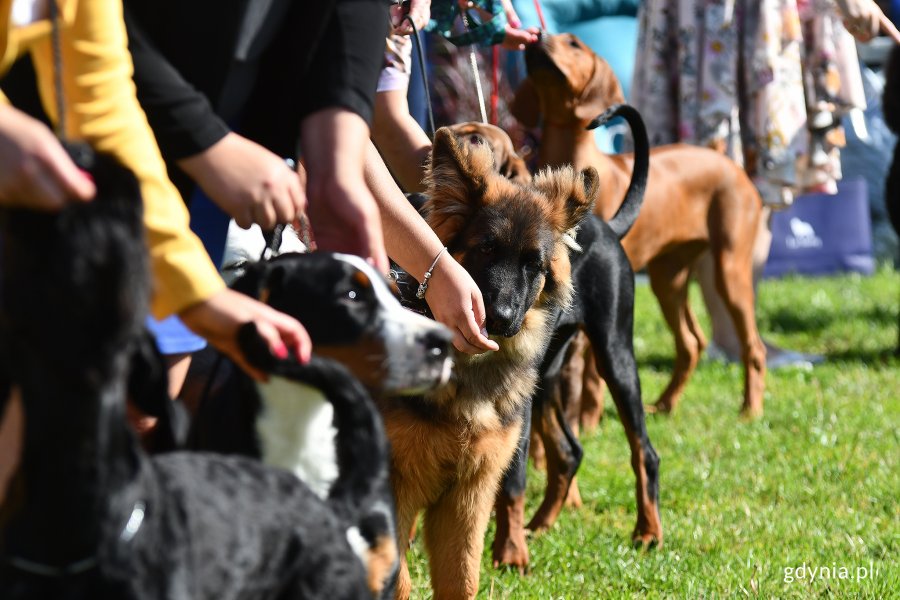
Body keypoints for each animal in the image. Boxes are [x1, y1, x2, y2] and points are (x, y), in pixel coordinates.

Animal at [512, 31, 768, 418]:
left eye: (574, 44)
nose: (537, 35)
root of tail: (729, 161)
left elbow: (590, 373)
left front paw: (588, 420)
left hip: (729, 271)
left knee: (753, 346)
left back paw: (750, 409)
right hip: (668, 279)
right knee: (691, 342)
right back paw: (664, 404)